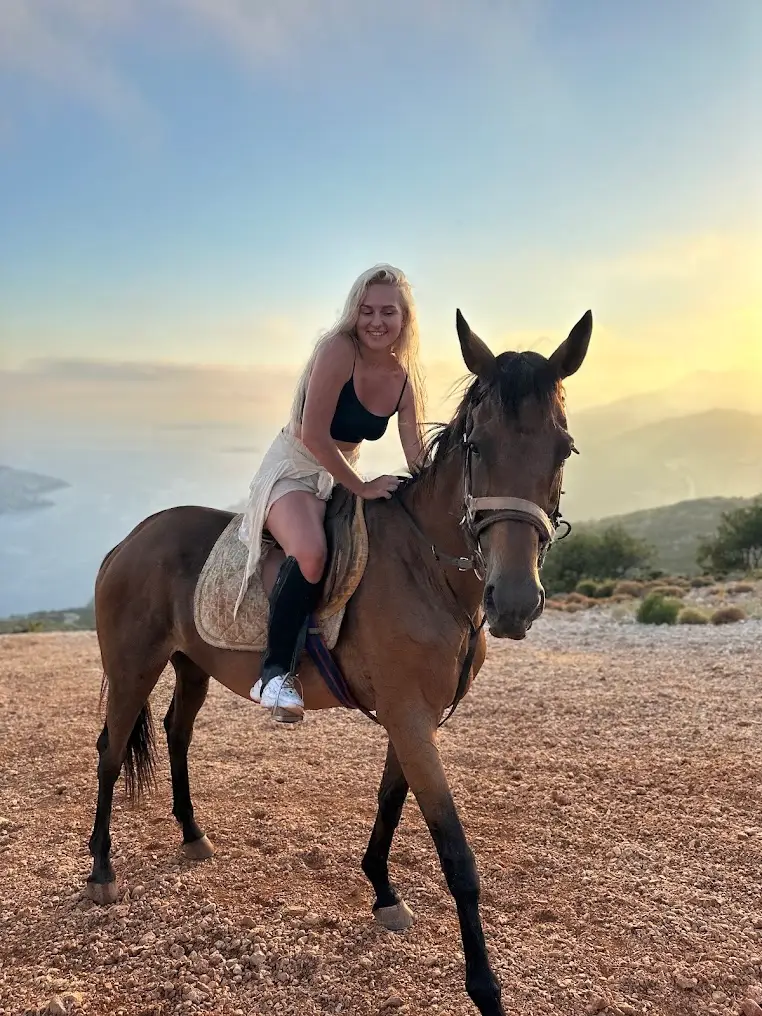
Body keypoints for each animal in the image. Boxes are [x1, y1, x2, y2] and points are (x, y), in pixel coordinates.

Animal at [87, 308, 592, 1016]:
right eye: (477, 448)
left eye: (562, 449)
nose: (515, 600)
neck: (427, 568)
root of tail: (127, 541)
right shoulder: (409, 718)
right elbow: (455, 853)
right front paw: (485, 988)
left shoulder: (415, 719)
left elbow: (391, 801)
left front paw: (382, 893)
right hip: (134, 666)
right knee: (110, 752)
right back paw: (101, 870)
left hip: (190, 664)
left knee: (175, 733)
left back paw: (191, 835)